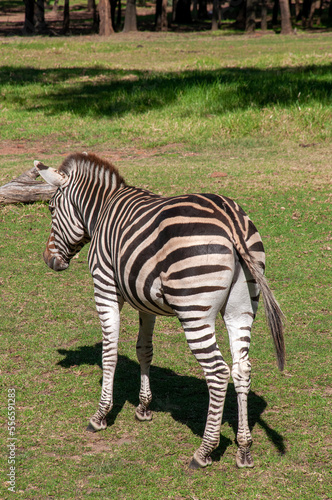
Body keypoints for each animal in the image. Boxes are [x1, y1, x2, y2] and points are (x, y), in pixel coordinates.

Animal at [35, 151, 286, 468]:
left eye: (52, 209)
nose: (48, 260)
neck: (102, 211)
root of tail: (230, 221)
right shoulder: (145, 300)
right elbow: (144, 349)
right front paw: (143, 407)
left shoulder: (105, 287)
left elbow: (110, 353)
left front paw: (101, 415)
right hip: (241, 308)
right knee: (242, 369)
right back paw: (243, 450)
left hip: (195, 311)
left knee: (218, 373)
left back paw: (204, 451)